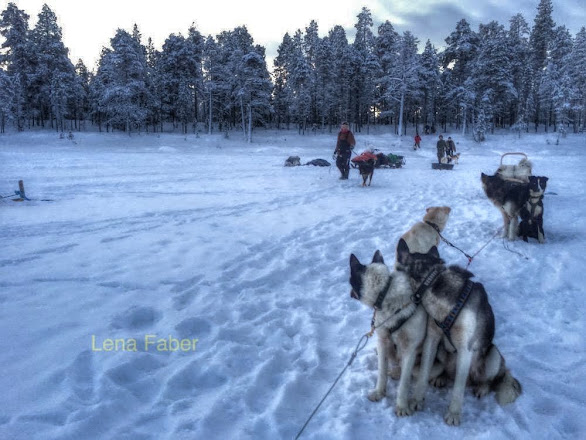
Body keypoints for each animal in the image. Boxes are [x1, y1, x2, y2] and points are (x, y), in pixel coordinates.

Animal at [346, 251, 424, 416]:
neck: (385, 292)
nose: (349, 293)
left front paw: (402, 406)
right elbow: (381, 372)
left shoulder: (410, 349)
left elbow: (404, 383)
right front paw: (379, 392)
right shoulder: (382, 341)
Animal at [394, 237, 516, 426]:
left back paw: (482, 387)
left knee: (486, 380)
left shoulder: (465, 349)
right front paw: (417, 400)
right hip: (443, 352)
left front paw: (453, 414)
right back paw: (442, 377)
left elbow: (458, 389)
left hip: (493, 355)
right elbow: (423, 374)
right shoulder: (432, 339)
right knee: (449, 373)